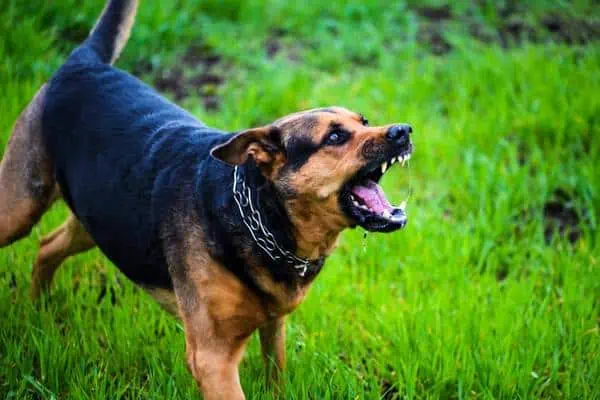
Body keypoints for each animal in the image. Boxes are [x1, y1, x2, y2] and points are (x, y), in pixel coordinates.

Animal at [0, 1, 412, 398]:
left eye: (364, 121)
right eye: (335, 137)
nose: (403, 130)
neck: (260, 216)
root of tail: (83, 62)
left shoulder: (274, 324)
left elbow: (275, 372)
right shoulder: (213, 358)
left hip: (99, 219)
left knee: (47, 244)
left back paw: (37, 308)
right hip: (20, 207)